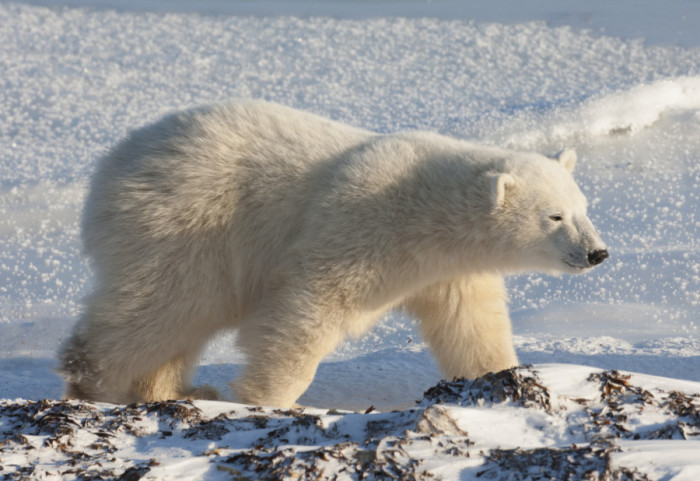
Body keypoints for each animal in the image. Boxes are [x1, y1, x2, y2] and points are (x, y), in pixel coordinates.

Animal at [60, 99, 608, 406]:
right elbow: (310, 304)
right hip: (187, 222)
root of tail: (111, 164)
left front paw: (500, 377)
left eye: (583, 208)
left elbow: (471, 325)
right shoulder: (360, 223)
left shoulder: (448, 270)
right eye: (554, 216)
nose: (597, 253)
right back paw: (92, 379)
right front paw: (268, 398)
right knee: (167, 303)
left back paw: (176, 391)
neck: (426, 210)